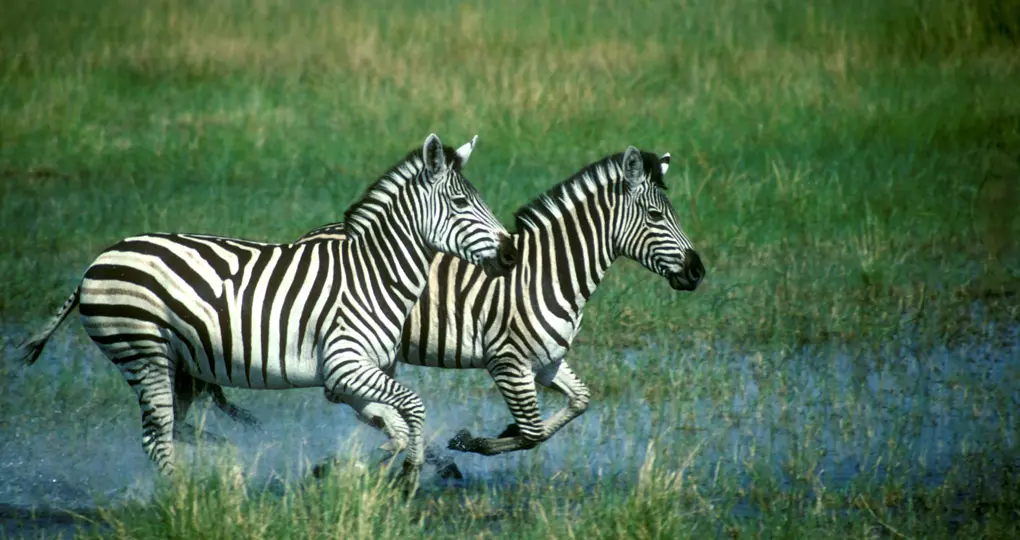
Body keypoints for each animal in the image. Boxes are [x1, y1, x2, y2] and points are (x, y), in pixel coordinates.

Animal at [16, 133, 519, 491]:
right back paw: (181, 498)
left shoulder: (350, 379)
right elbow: (413, 409)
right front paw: (407, 473)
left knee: (172, 430)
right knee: (156, 437)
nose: (512, 253)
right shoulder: (346, 366)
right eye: (461, 203)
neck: (373, 276)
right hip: (142, 349)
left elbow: (393, 425)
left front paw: (355, 468)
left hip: (178, 364)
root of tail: (96, 263)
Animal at [198, 146, 704, 466]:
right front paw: (473, 442)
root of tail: (310, 236)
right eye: (656, 215)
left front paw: (496, 434)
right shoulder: (508, 362)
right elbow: (533, 433)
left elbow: (578, 404)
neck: (547, 272)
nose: (698, 271)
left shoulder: (546, 362)